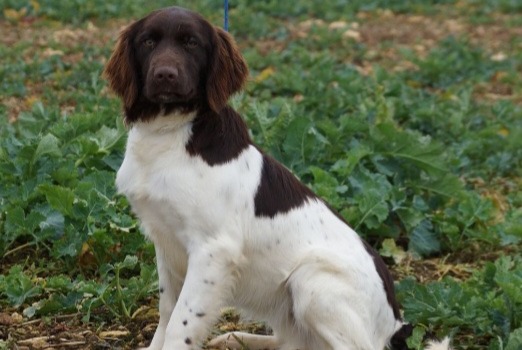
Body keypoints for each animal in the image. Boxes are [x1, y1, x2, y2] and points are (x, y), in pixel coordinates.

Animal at [103, 5, 448, 350]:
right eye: (148, 42)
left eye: (192, 43)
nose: (165, 75)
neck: (170, 134)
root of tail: (396, 323)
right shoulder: (165, 240)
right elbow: (167, 310)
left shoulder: (213, 250)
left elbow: (181, 324)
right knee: (291, 342)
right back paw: (234, 337)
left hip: (311, 281)